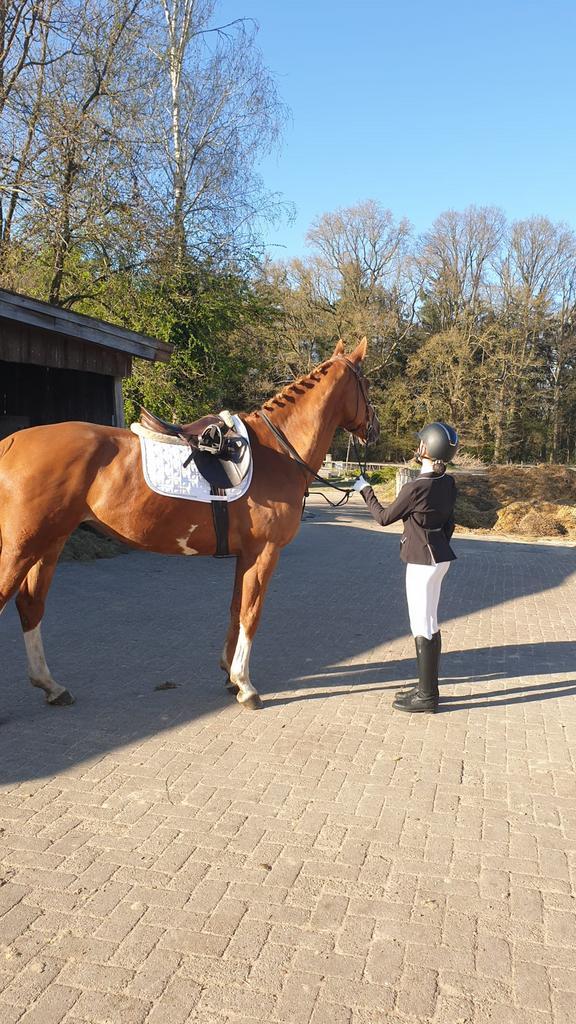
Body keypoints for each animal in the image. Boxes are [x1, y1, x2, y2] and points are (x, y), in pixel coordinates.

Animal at [0, 337, 379, 712]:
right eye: (366, 384)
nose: (373, 429)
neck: (277, 452)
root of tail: (11, 441)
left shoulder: (245, 554)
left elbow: (236, 608)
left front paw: (229, 675)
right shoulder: (265, 552)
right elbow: (251, 613)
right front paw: (245, 685)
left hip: (49, 543)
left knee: (30, 605)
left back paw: (52, 686)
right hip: (22, 547)